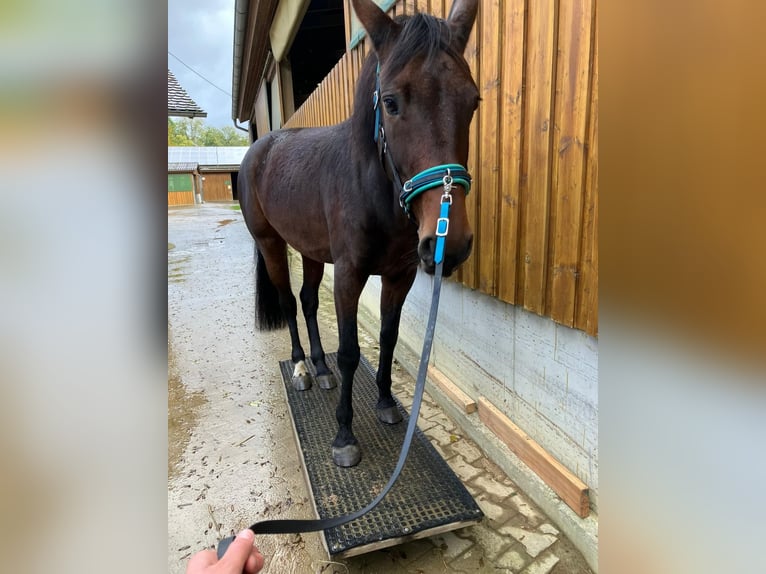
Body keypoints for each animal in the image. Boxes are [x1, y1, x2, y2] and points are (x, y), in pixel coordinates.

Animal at [238, 0, 479, 468]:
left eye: (474, 101)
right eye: (391, 102)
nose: (452, 244)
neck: (371, 188)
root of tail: (259, 149)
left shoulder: (399, 275)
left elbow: (387, 338)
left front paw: (386, 402)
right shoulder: (350, 275)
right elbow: (351, 351)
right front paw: (344, 435)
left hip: (311, 251)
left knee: (309, 302)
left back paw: (320, 367)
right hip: (271, 244)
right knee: (289, 302)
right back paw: (301, 368)